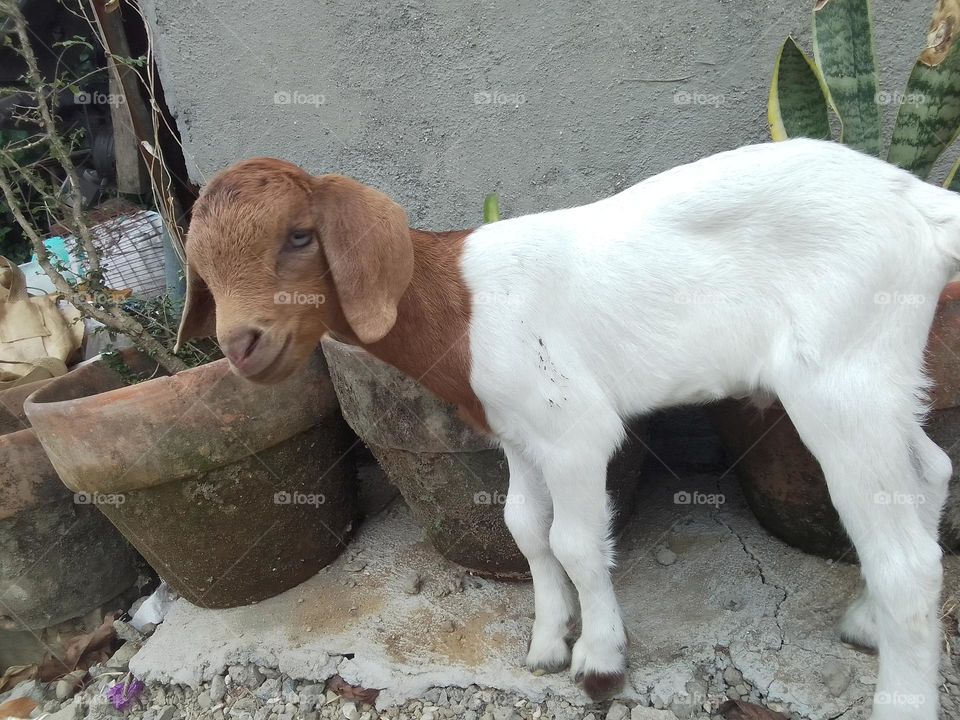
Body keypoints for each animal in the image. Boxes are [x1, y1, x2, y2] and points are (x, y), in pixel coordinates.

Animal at [176, 139, 958, 720]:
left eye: (299, 236)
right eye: (203, 270)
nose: (241, 345)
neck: (459, 305)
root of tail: (920, 201)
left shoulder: (575, 430)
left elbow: (575, 542)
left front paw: (599, 660)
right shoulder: (520, 432)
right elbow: (524, 527)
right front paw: (548, 640)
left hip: (840, 379)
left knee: (906, 561)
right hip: (880, 375)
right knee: (931, 472)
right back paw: (866, 622)